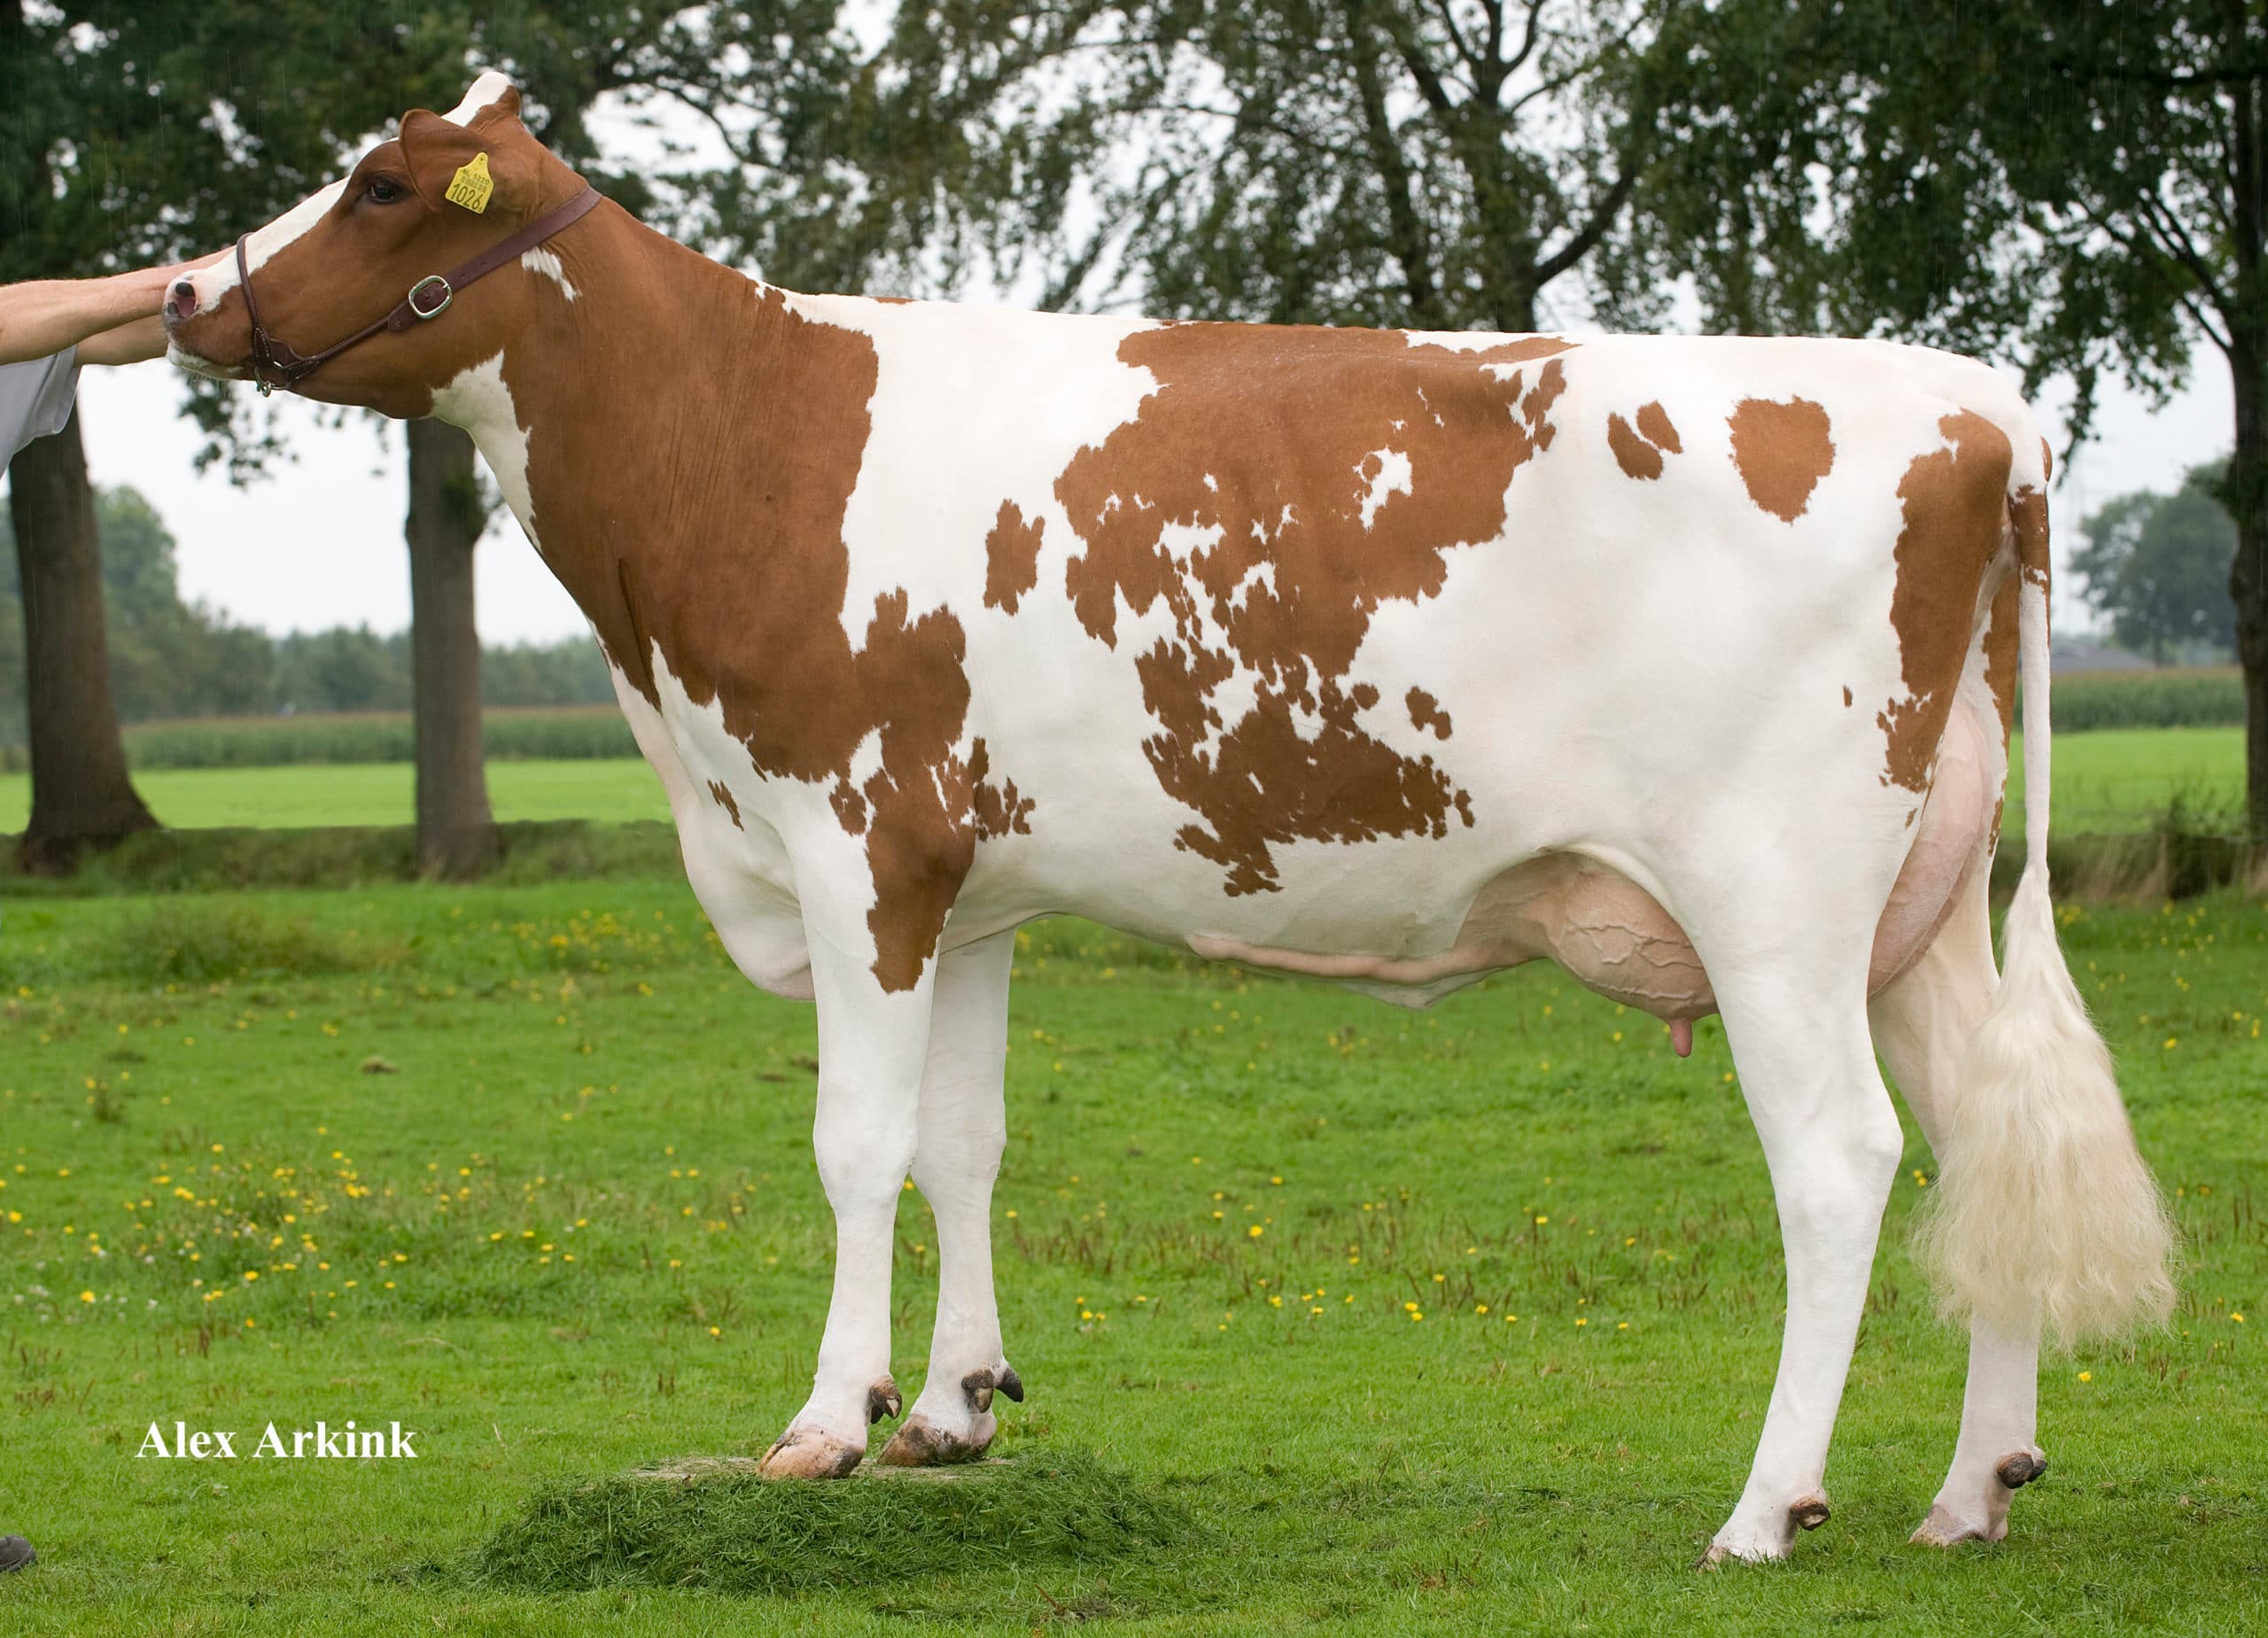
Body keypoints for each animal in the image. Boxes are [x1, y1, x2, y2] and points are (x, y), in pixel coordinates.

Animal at [165, 75, 2174, 1565]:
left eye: (374, 184)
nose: (186, 294)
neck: (742, 441)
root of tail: (1970, 404)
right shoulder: (967, 884)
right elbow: (960, 1143)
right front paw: (950, 1408)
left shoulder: (854, 844)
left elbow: (851, 1145)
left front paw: (822, 1425)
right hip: (1915, 911)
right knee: (1982, 1144)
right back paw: (1968, 1490)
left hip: (1774, 898)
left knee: (1839, 1163)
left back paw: (1767, 1506)